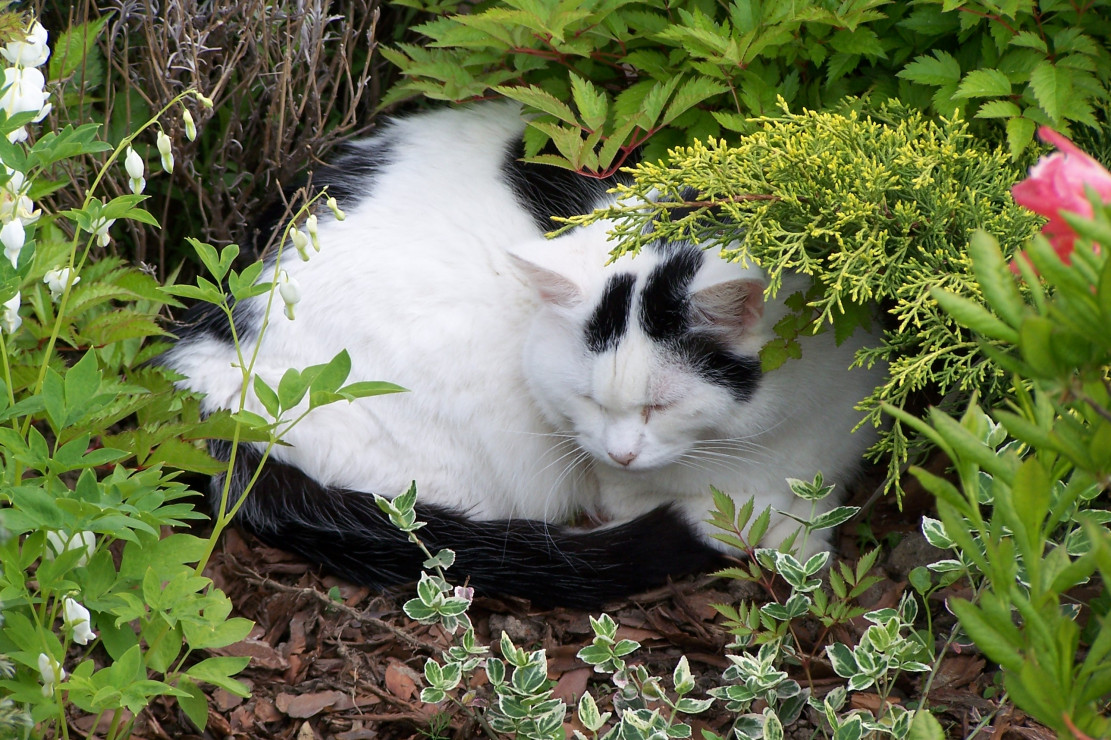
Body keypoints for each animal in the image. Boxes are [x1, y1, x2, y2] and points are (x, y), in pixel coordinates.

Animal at [161, 101, 884, 608]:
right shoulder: (621, 486)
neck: (760, 439)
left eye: (663, 404)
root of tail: (205, 370)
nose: (621, 453)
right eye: (589, 401)